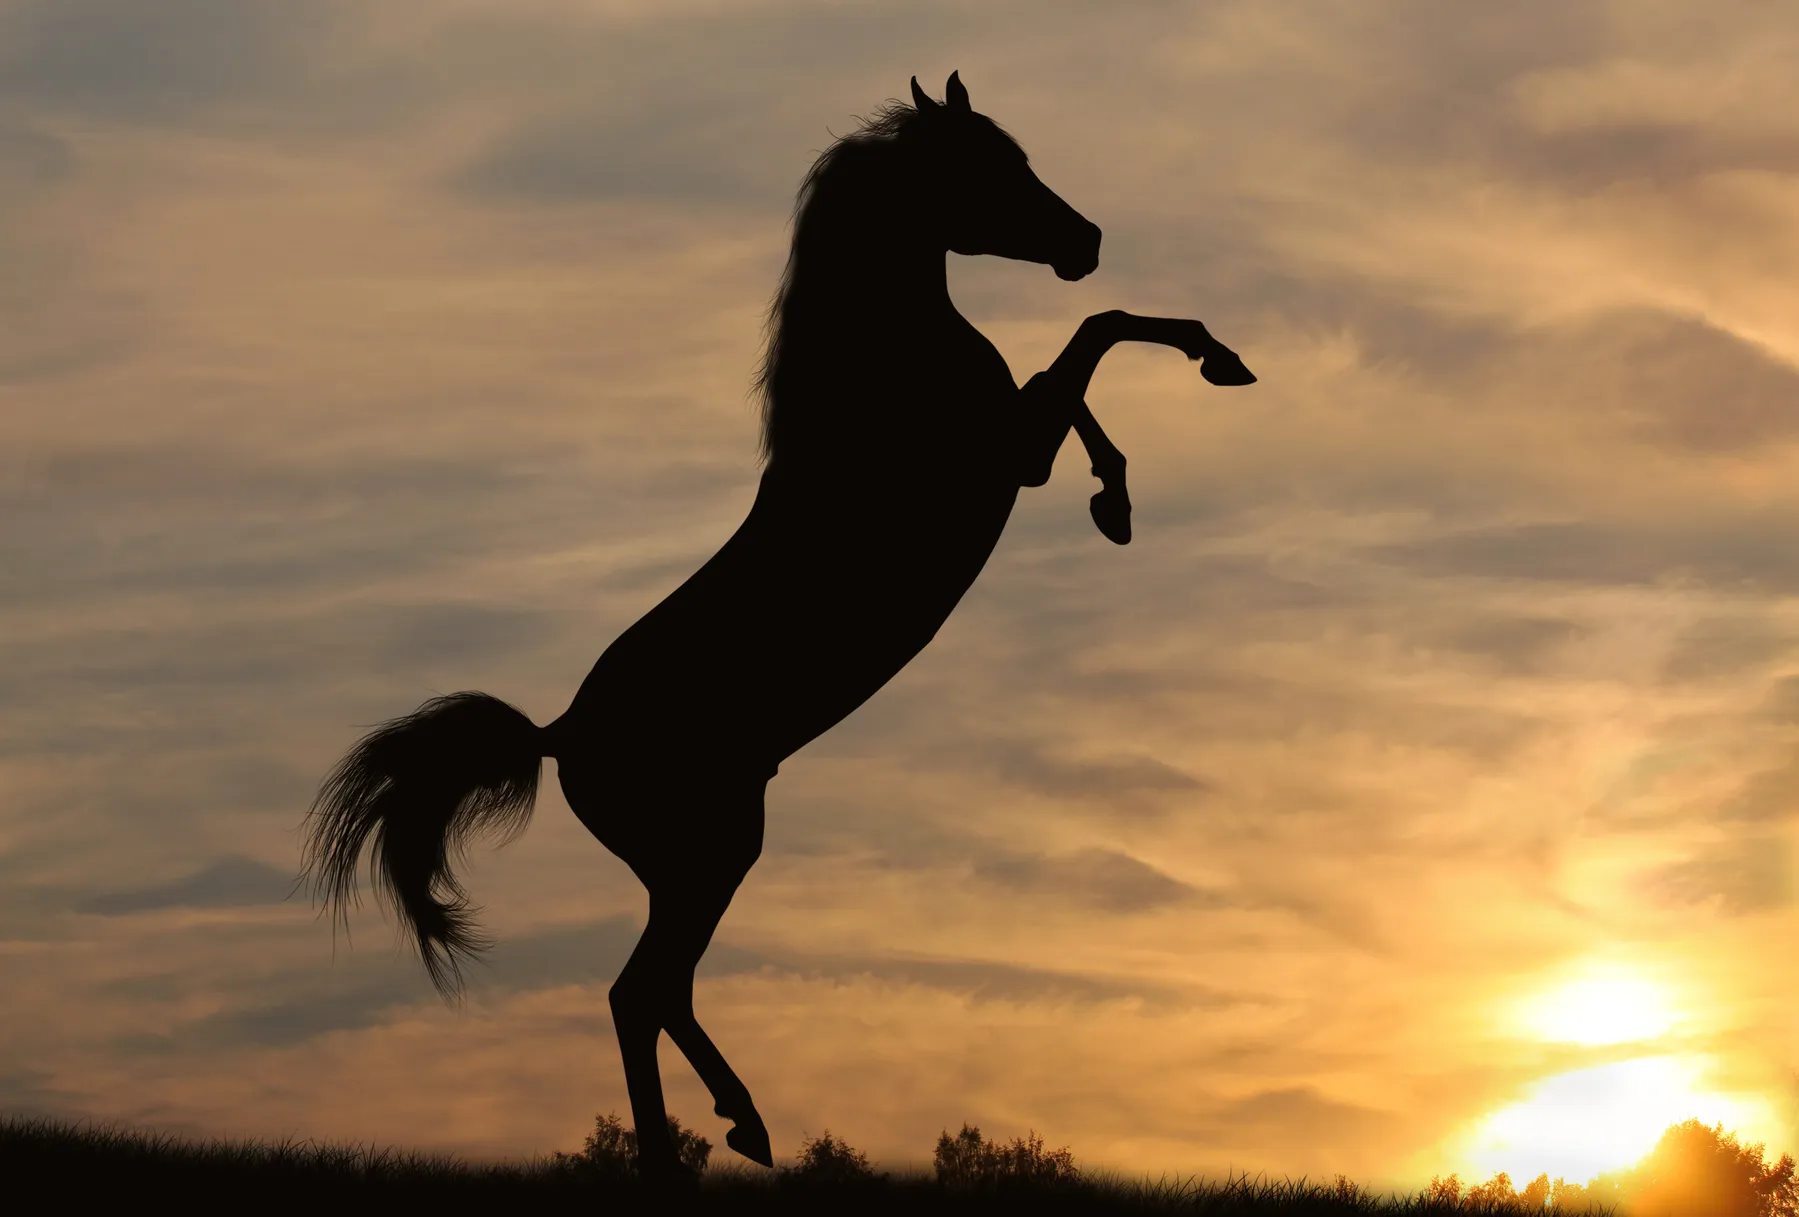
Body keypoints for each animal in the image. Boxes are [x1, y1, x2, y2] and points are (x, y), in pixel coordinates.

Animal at [303, 72, 1255, 1178]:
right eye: (989, 163)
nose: (1086, 238)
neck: (882, 369)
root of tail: (559, 735)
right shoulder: (1004, 452)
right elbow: (1092, 339)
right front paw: (1209, 371)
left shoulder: (1015, 443)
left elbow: (1076, 372)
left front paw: (1118, 498)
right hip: (711, 852)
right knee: (639, 991)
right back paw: (691, 1147)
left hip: (692, 863)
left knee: (658, 990)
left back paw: (735, 1127)